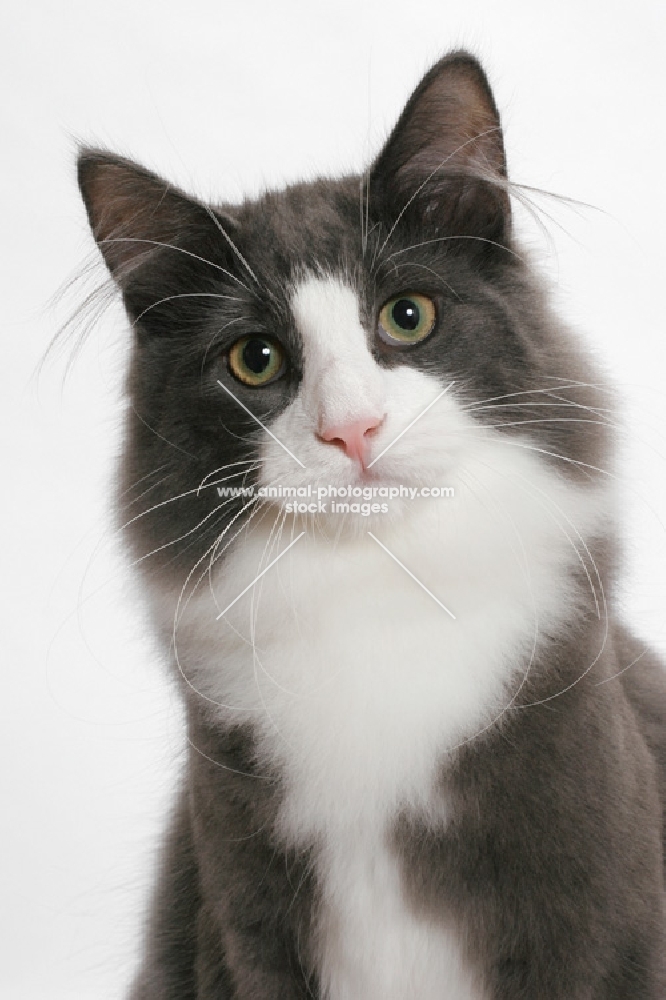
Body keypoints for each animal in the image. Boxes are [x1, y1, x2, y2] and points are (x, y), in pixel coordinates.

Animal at [79, 52, 664, 1000]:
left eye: (408, 316)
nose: (351, 428)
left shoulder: (595, 914)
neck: (374, 588)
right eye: (255, 360)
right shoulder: (245, 918)